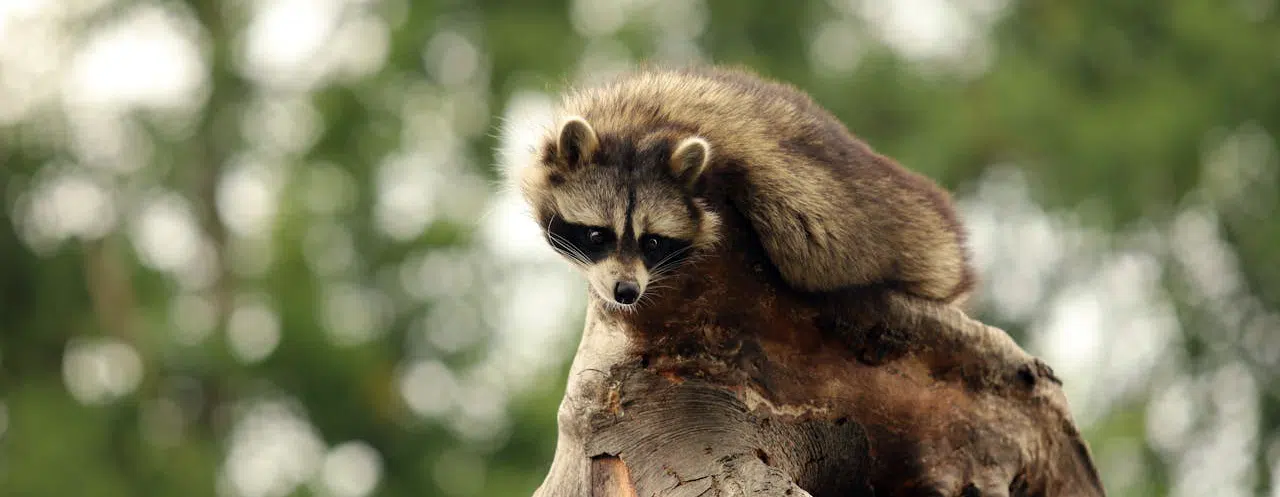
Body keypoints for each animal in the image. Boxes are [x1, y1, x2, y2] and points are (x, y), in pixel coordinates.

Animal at [507, 65, 974, 309]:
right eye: (596, 234)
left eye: (653, 242)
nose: (627, 292)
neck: (643, 126)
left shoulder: (784, 184)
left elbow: (817, 245)